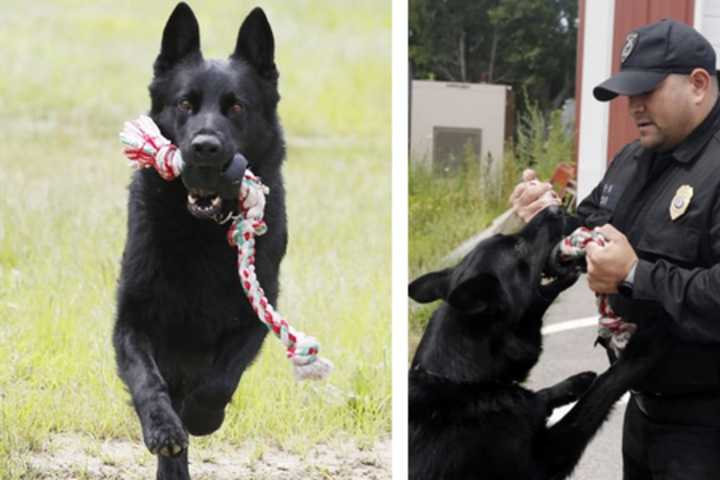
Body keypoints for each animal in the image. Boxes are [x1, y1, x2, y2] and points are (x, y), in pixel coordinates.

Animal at [112, 2, 286, 476]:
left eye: (237, 107)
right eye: (185, 103)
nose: (205, 148)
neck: (203, 231)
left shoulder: (255, 315)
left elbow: (221, 378)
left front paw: (200, 417)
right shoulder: (132, 320)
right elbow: (147, 380)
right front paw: (165, 428)